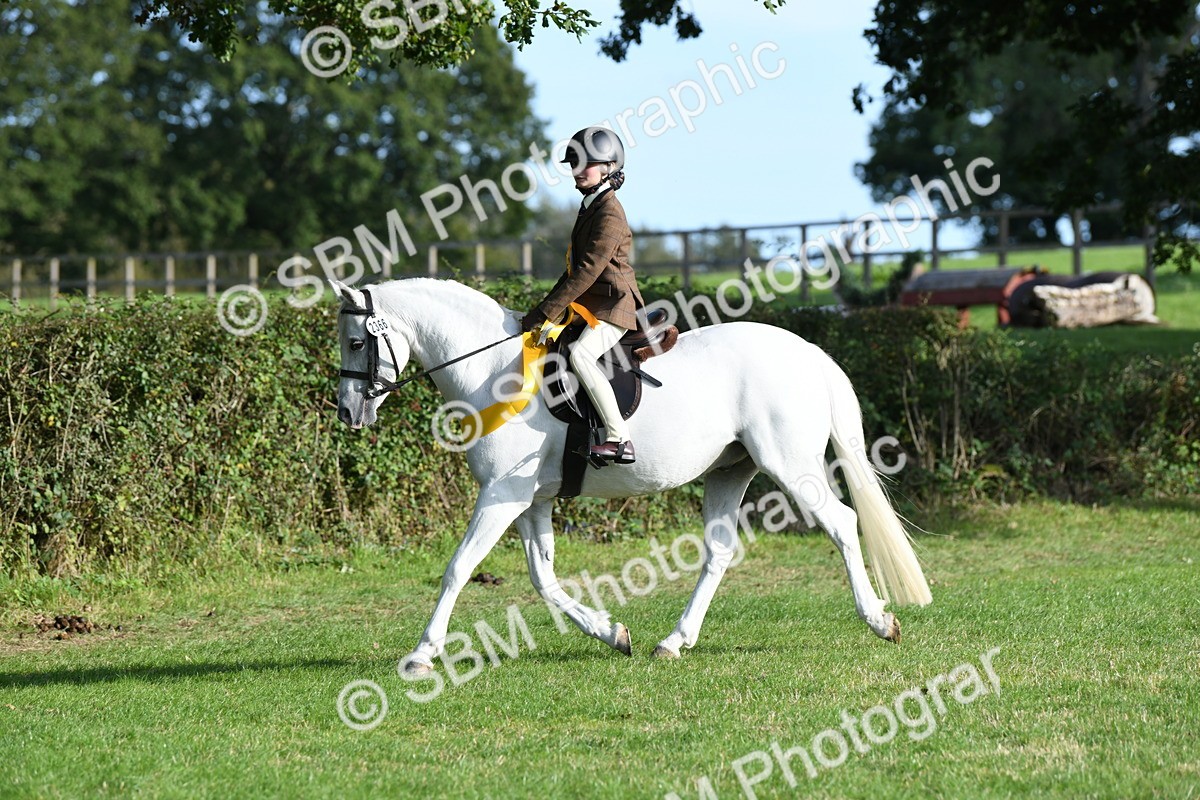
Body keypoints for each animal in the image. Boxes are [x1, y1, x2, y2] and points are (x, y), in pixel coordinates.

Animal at [330, 277, 931, 673]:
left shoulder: (502, 494)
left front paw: (421, 654)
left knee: (842, 523)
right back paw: (674, 641)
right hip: (731, 471)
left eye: (357, 341)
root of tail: (808, 351)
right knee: (718, 553)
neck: (493, 371)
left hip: (790, 464)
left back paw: (879, 621)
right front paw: (611, 633)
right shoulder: (531, 500)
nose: (348, 412)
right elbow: (543, 579)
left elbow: (458, 568)